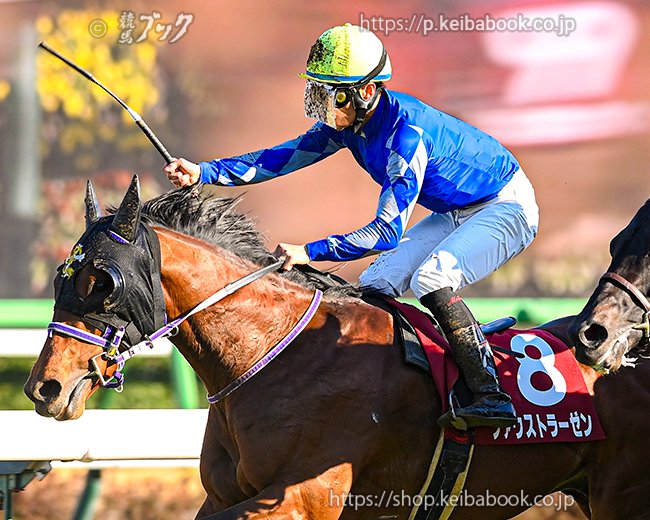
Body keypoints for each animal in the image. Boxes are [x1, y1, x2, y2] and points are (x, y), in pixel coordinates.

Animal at [24, 176, 650, 519]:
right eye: (60, 276)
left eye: (102, 282)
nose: (43, 387)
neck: (274, 352)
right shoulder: (226, 495)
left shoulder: (305, 497)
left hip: (621, 494)